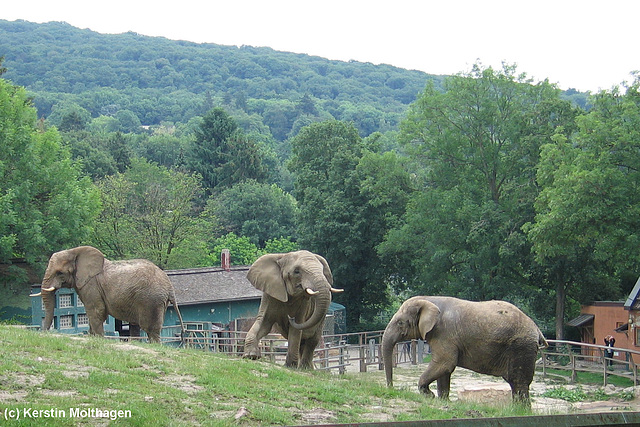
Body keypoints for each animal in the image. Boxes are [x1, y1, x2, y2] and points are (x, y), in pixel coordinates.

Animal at [33, 246, 184, 342]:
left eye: (59, 273)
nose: (43, 333)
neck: (75, 251)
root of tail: (169, 287)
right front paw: (92, 337)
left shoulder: (91, 286)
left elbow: (96, 311)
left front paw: (99, 339)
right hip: (159, 302)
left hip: (151, 301)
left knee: (151, 330)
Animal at [382, 296, 548, 406]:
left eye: (400, 323)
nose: (391, 388)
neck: (429, 299)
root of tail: (536, 328)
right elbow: (444, 369)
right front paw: (443, 401)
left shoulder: (444, 333)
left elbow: (445, 363)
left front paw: (430, 397)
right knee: (516, 383)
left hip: (521, 346)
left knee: (518, 382)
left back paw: (520, 411)